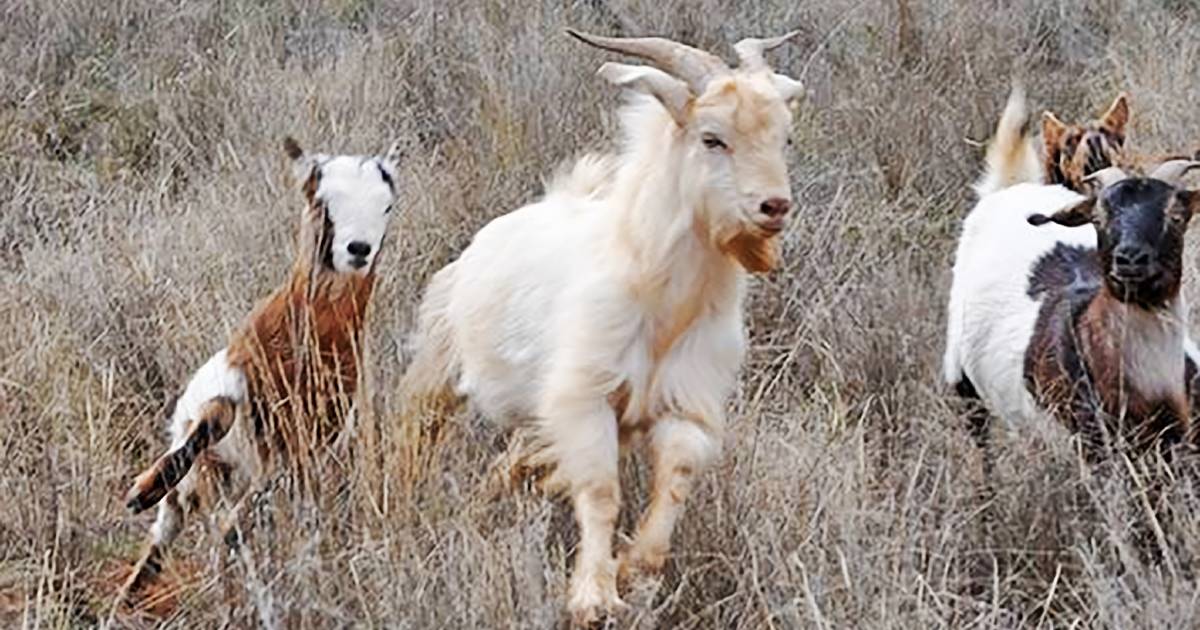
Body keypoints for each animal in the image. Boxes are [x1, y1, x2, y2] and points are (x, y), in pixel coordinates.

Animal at [117, 138, 400, 604]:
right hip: (203, 474)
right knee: (169, 522)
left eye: (387, 205)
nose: (358, 249)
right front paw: (141, 490)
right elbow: (218, 415)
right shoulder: (232, 381)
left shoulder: (303, 449)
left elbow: (244, 515)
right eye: (321, 200)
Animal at [400, 29, 806, 619]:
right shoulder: (583, 400)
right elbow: (600, 491)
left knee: (515, 464)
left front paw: (635, 568)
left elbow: (675, 480)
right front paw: (593, 596)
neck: (660, 300)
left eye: (785, 137)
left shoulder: (687, 405)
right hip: (438, 368)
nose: (774, 206)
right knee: (413, 432)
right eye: (713, 138)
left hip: (533, 419)